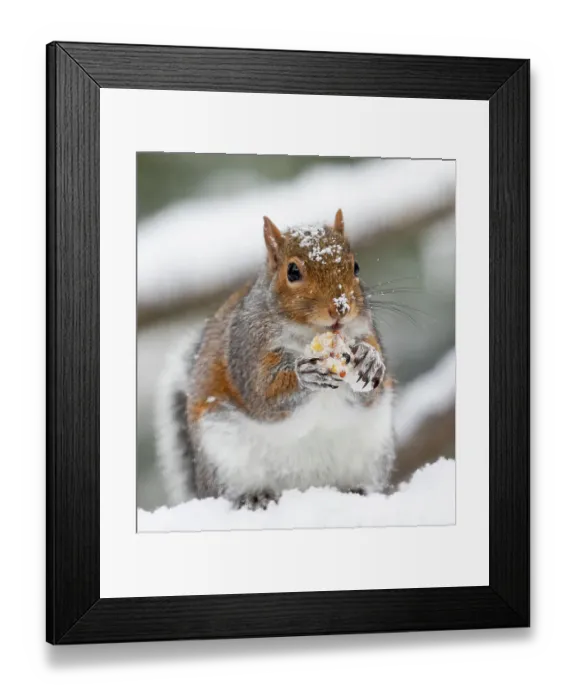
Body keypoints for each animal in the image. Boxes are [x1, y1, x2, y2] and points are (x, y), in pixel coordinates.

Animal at [155, 209, 396, 510]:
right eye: (292, 271)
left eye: (356, 267)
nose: (340, 307)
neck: (309, 336)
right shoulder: (245, 351)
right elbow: (264, 395)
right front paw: (305, 375)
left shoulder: (365, 332)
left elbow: (369, 391)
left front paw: (369, 360)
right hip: (224, 455)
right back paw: (254, 497)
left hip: (373, 450)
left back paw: (357, 490)